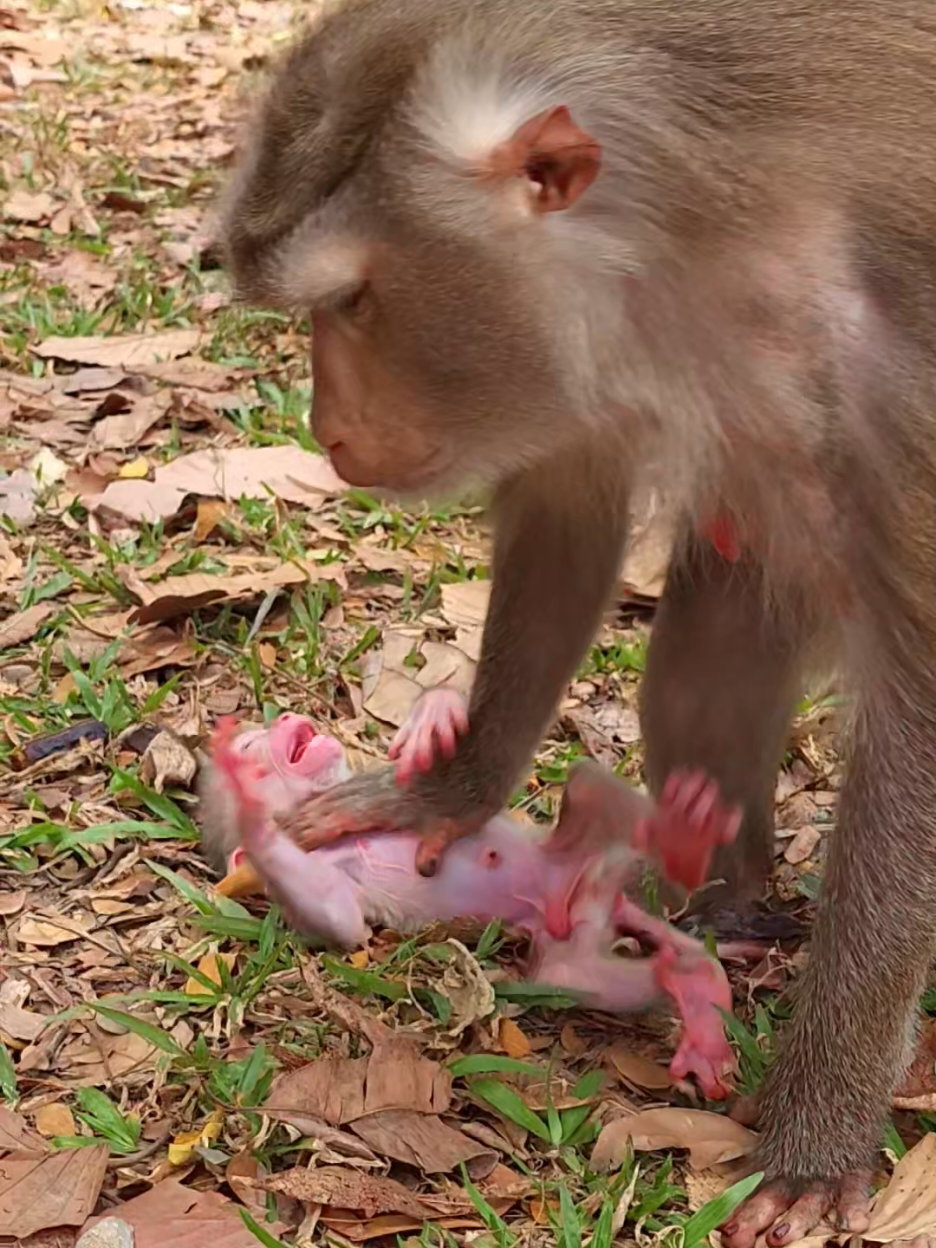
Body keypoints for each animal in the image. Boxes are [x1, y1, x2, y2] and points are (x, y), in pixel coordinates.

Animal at [217, 1, 936, 1241]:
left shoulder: (901, 372)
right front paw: (445, 790)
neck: (710, 236)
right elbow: (566, 506)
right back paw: (711, 889)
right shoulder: (586, 337)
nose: (326, 429)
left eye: (351, 301)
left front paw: (823, 1126)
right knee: (701, 667)